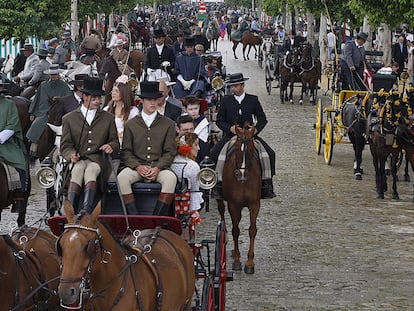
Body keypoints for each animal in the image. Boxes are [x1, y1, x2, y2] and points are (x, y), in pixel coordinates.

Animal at [215, 124, 260, 276]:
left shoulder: (254, 204)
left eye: (251, 150)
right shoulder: (233, 204)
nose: (241, 174)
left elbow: (252, 230)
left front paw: (250, 263)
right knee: (222, 212)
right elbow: (235, 230)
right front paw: (236, 262)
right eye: (237, 149)